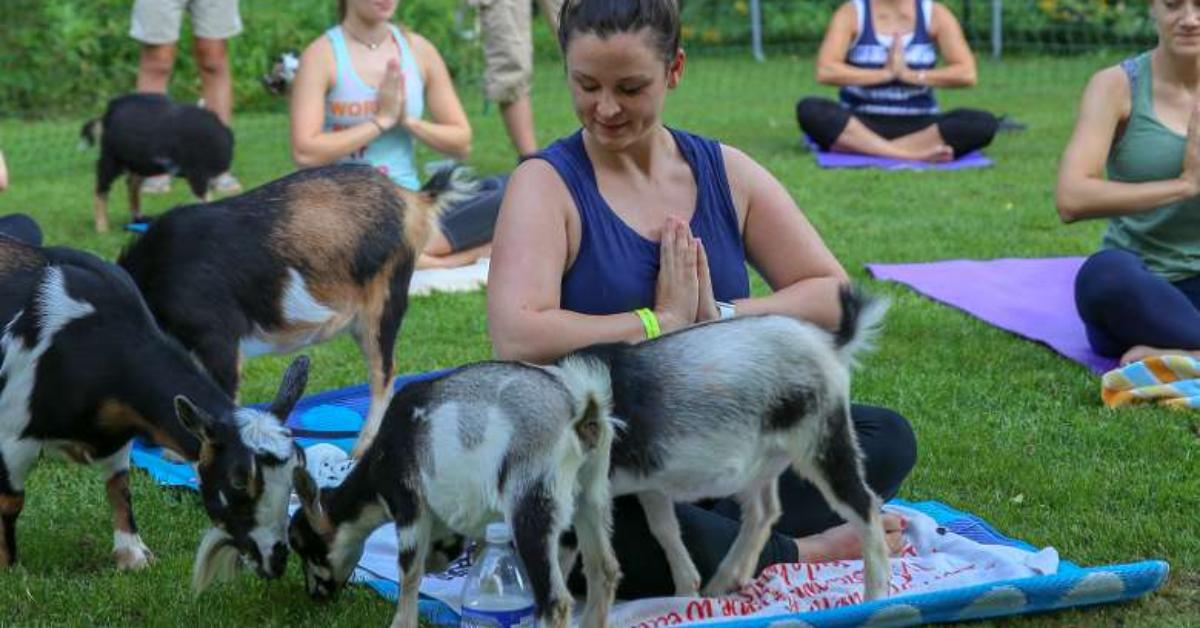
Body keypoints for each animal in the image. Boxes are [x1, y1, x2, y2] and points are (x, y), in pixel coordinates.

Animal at [1, 235, 309, 585]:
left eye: (297, 468)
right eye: (239, 481)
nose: (277, 561)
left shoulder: (118, 432)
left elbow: (120, 487)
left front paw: (132, 554)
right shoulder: (13, 438)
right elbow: (11, 502)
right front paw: (7, 568)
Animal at [82, 92, 234, 231]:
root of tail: (109, 111)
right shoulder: (198, 175)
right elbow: (205, 201)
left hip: (138, 164)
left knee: (132, 185)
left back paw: (137, 217)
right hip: (111, 160)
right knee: (101, 190)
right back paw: (102, 228)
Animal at [289, 355, 619, 628]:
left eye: (306, 547)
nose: (314, 596)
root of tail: (581, 406)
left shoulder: (409, 505)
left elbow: (409, 571)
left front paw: (402, 623)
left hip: (532, 503)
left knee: (556, 601)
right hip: (591, 495)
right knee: (604, 571)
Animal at [568, 286, 892, 602]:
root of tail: (829, 342)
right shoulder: (649, 480)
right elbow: (664, 527)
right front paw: (685, 593)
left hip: (822, 437)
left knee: (864, 505)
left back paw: (875, 596)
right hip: (763, 457)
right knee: (763, 510)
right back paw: (724, 582)